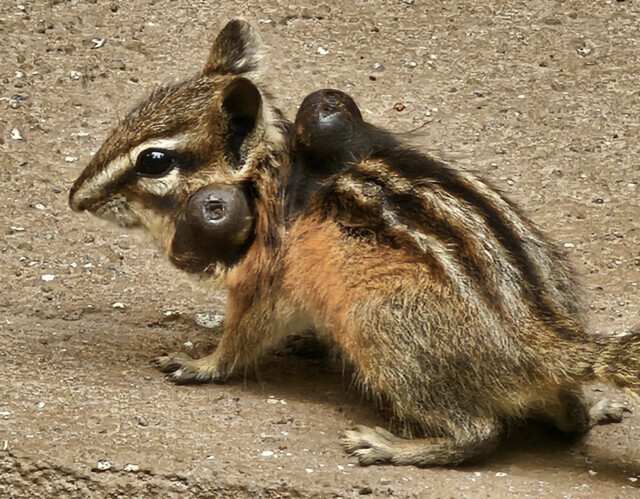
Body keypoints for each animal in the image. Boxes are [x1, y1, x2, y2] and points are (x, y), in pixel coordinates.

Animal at [69, 19, 639, 467]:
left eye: (154, 161)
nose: (75, 199)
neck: (267, 172)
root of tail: (546, 339)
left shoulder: (266, 282)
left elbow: (242, 340)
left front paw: (201, 363)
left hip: (382, 328)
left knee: (478, 434)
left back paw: (393, 446)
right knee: (569, 420)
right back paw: (595, 406)